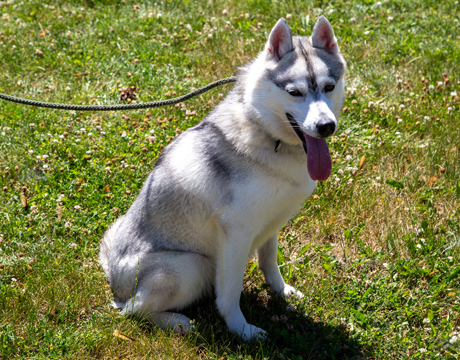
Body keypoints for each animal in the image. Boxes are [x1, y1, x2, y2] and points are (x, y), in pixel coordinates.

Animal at [100, 14, 344, 340]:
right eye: (295, 93)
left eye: (329, 86)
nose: (326, 126)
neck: (269, 138)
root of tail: (114, 279)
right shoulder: (236, 232)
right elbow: (229, 293)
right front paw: (241, 330)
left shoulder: (272, 221)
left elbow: (270, 262)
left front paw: (281, 292)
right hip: (192, 266)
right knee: (132, 311)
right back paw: (176, 322)